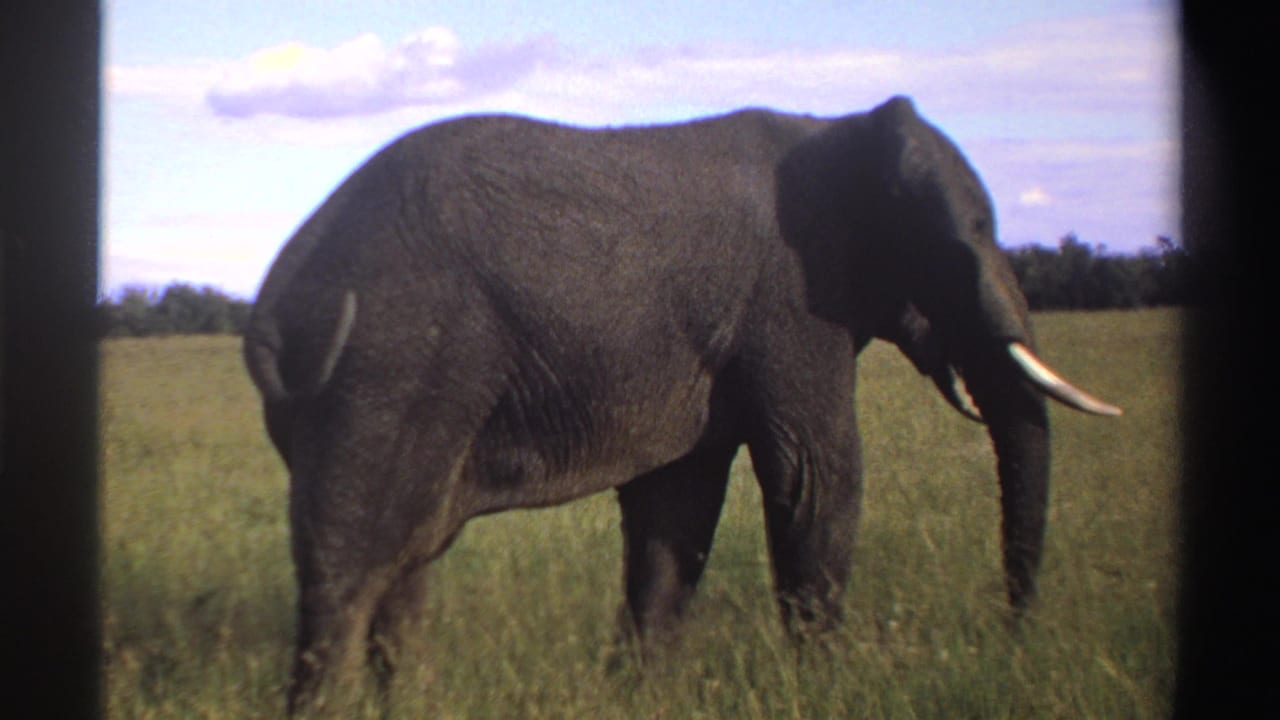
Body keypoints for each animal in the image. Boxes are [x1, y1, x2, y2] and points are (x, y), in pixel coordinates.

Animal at [243, 95, 1121, 714]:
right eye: (968, 236)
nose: (1010, 637)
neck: (835, 129)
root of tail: (275, 297)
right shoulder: (789, 309)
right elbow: (816, 478)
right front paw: (830, 690)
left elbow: (679, 507)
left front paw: (642, 694)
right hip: (387, 367)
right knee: (352, 565)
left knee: (407, 558)